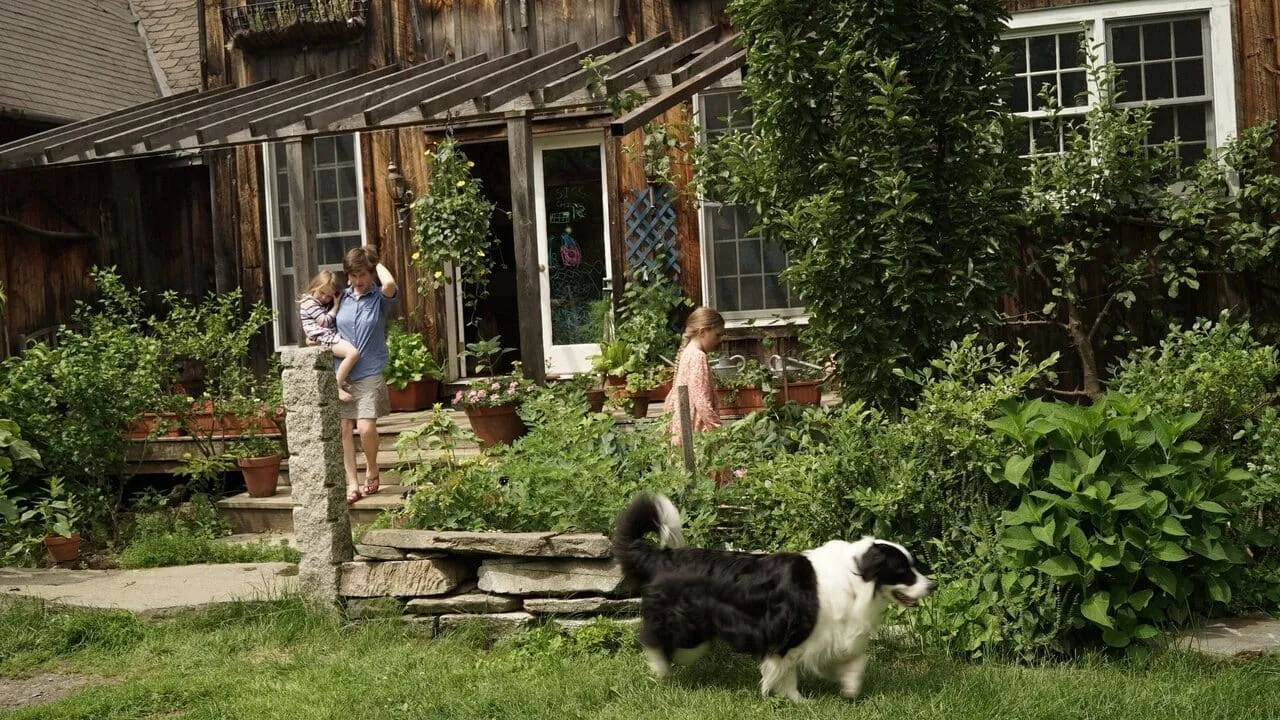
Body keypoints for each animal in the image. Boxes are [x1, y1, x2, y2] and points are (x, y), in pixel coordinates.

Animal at [614, 489, 936, 696]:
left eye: (912, 566)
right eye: (903, 570)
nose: (932, 585)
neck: (857, 576)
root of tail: (663, 556)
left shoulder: (833, 636)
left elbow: (856, 662)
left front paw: (850, 688)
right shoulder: (787, 633)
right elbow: (784, 672)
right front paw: (796, 701)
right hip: (684, 624)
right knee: (653, 638)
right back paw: (660, 668)